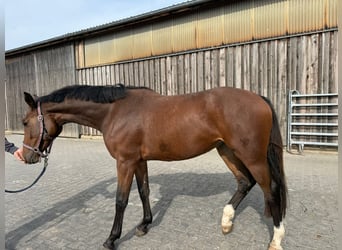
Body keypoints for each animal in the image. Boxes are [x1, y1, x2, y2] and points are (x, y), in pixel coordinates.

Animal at [22, 84, 286, 250]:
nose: (26, 156)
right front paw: (144, 225)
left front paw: (111, 239)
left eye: (25, 122)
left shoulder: (125, 161)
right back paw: (226, 222)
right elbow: (143, 192)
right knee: (245, 182)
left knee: (271, 189)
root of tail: (259, 98)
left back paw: (276, 240)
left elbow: (121, 199)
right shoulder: (139, 161)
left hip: (251, 156)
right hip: (227, 151)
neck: (114, 111)